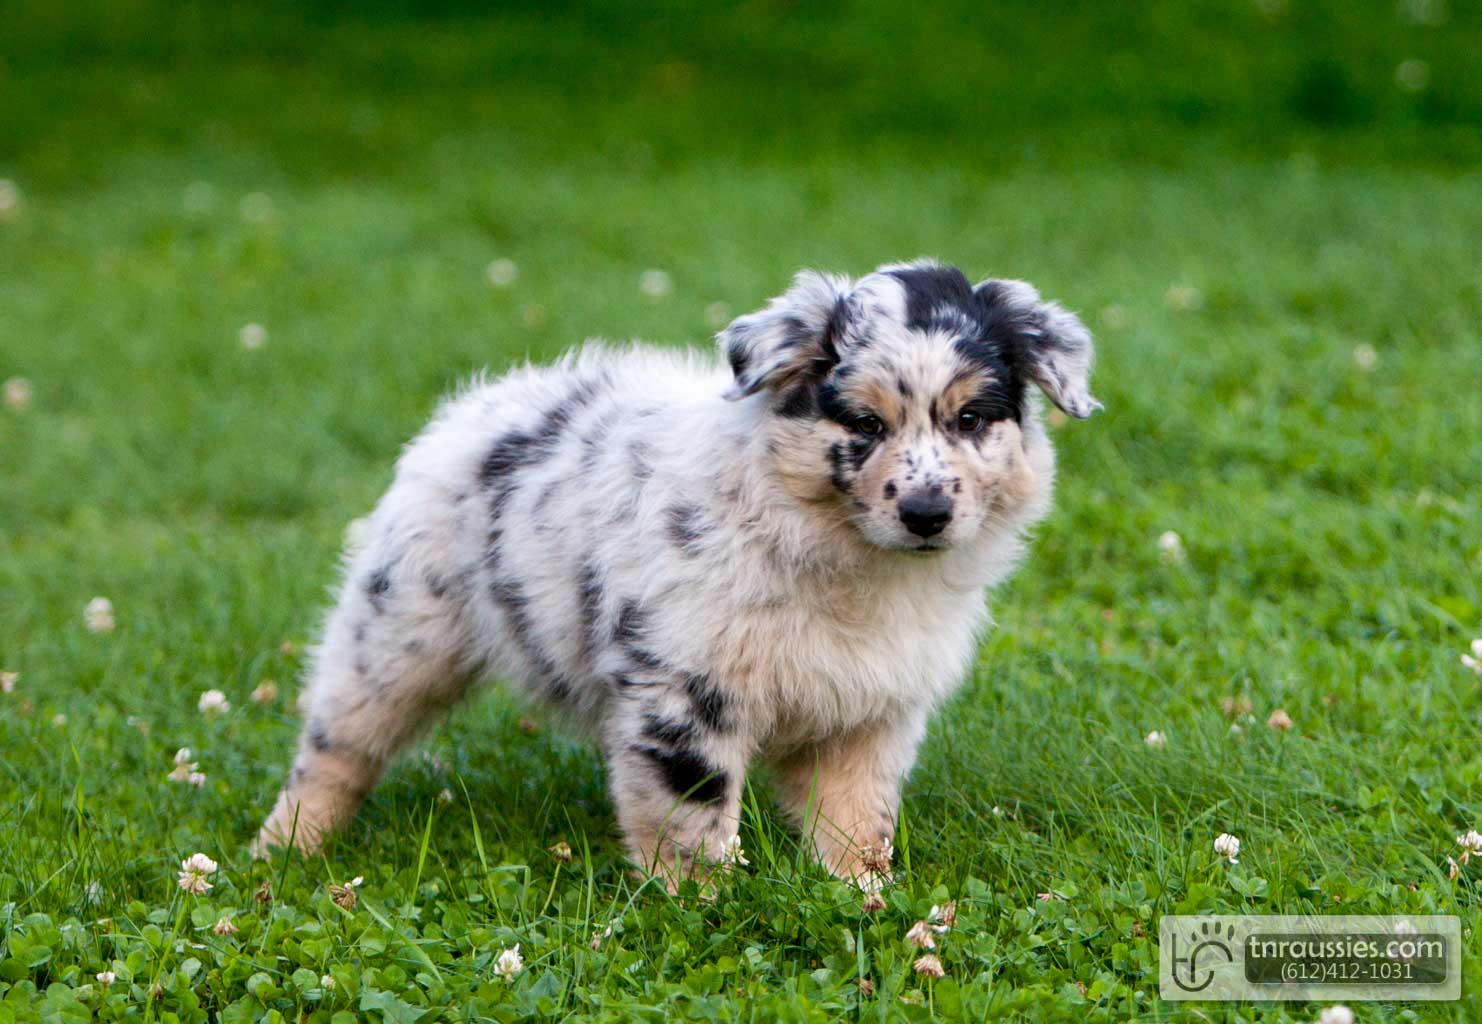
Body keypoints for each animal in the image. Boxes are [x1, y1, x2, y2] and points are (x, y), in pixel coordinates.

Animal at [255, 259, 1099, 888]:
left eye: (970, 419)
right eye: (864, 423)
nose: (926, 512)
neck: (844, 556)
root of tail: (482, 401)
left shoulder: (871, 708)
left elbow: (857, 818)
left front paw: (863, 896)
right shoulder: (684, 689)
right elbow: (692, 816)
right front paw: (701, 906)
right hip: (397, 626)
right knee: (336, 746)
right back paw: (283, 850)